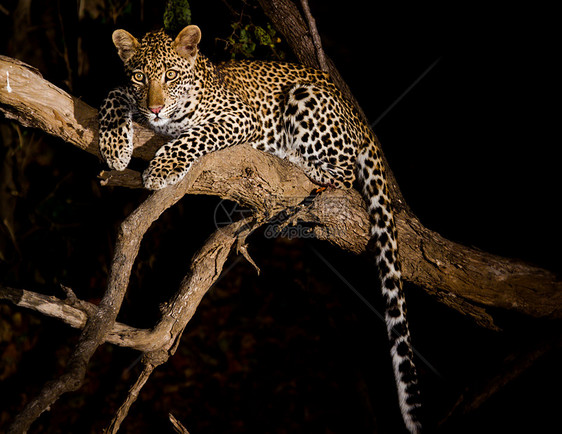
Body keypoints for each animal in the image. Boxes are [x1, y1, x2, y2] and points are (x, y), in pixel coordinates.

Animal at [99, 25, 420, 432]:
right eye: (140, 77)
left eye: (170, 76)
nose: (154, 108)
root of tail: (362, 121)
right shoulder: (129, 95)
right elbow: (113, 94)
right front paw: (113, 145)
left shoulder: (239, 117)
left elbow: (195, 135)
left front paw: (163, 167)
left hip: (305, 100)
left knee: (345, 174)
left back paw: (295, 158)